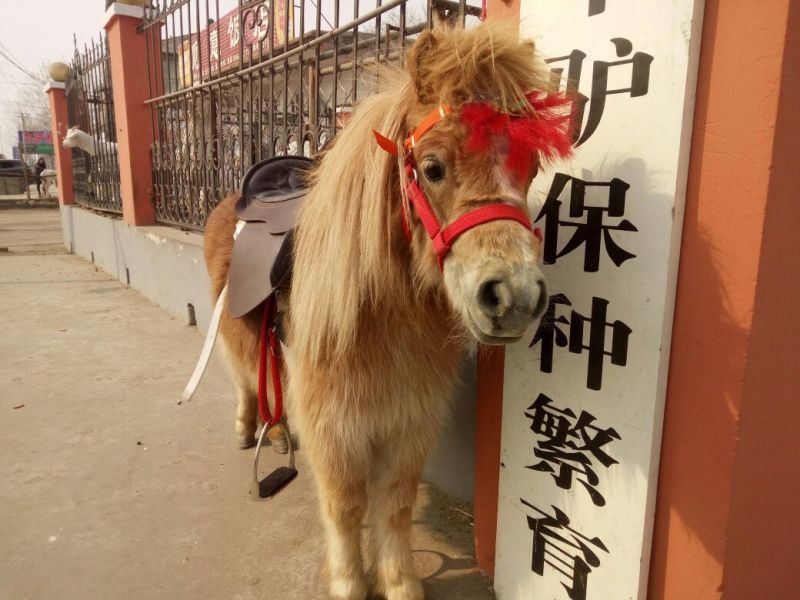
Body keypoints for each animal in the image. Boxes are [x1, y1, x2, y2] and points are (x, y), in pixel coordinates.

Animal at [203, 22, 572, 600]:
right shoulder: (334, 425)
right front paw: (350, 582)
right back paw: (250, 429)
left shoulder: (410, 416)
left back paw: (279, 435)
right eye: (432, 167)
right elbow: (345, 506)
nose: (514, 298)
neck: (380, 316)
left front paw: (399, 582)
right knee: (245, 379)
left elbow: (395, 504)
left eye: (529, 168)